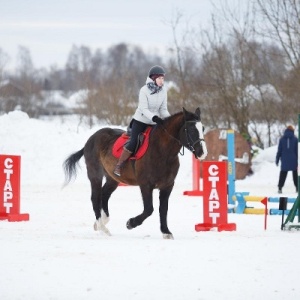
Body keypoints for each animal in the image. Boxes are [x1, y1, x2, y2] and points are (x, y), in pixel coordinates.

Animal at [62, 108, 209, 239]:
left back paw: (102, 221)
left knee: (105, 194)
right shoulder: (145, 185)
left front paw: (166, 232)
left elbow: (163, 209)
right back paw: (102, 226)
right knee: (95, 197)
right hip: (95, 175)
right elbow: (149, 209)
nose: (202, 153)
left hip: (112, 179)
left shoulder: (167, 185)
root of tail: (91, 139)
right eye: (190, 129)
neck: (162, 152)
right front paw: (130, 223)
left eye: (202, 128)